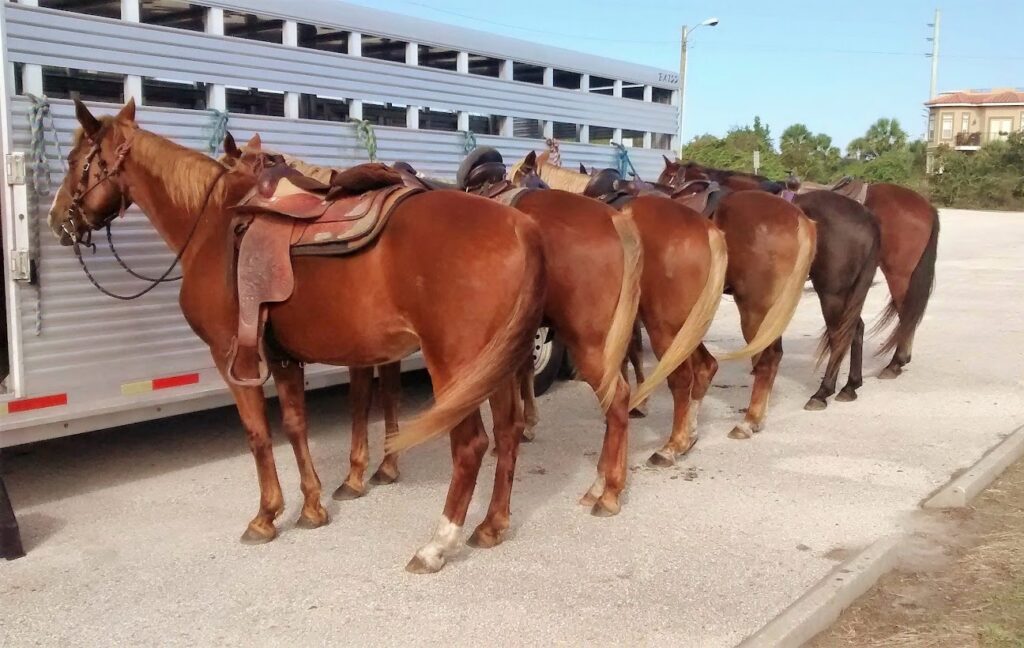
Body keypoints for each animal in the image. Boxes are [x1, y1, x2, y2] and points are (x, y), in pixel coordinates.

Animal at [49, 99, 544, 569]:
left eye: (74, 160)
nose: (57, 220)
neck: (211, 227)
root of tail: (519, 226)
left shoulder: (231, 356)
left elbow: (257, 433)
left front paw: (265, 516)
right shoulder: (283, 355)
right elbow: (294, 424)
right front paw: (312, 507)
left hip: (455, 366)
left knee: (471, 445)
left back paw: (436, 546)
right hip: (494, 366)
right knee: (509, 430)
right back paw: (492, 525)